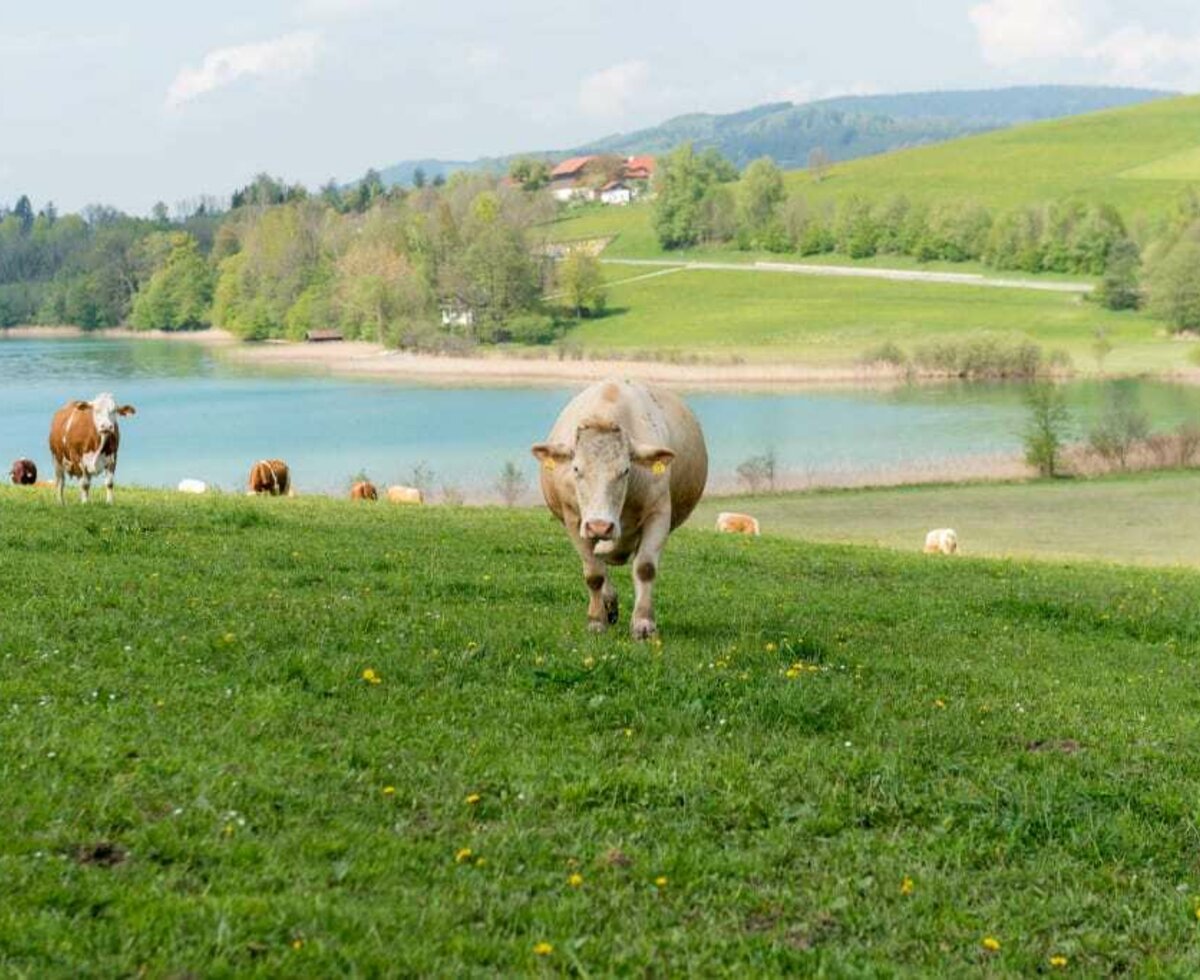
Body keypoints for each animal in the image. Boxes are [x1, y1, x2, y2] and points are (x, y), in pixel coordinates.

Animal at [530, 376, 705, 642]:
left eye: (625, 470)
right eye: (576, 469)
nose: (600, 526)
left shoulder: (658, 513)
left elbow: (645, 568)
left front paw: (643, 623)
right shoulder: (574, 520)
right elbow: (594, 573)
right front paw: (596, 620)